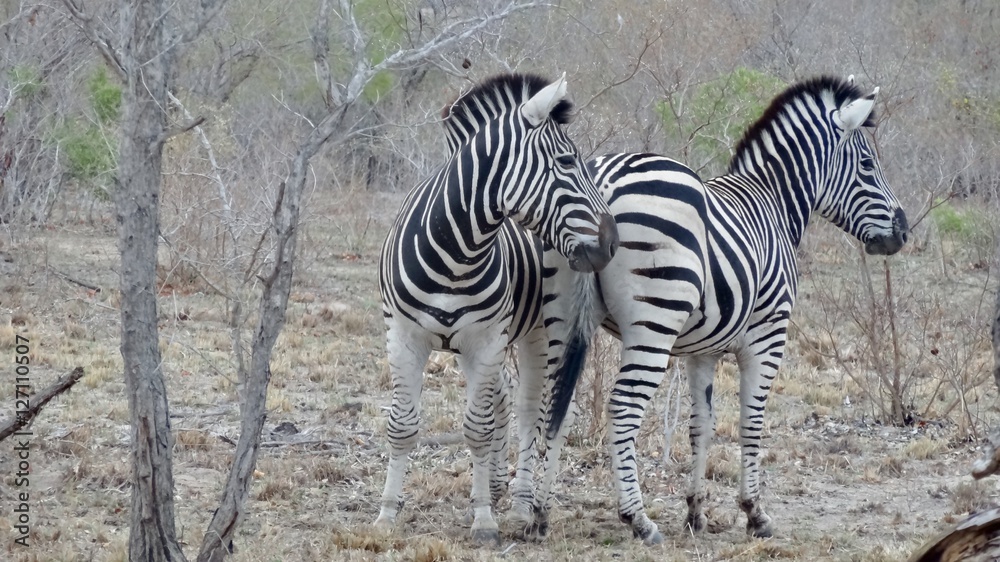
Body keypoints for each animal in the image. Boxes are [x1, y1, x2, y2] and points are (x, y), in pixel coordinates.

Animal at [375, 72, 619, 545]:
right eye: (566, 162)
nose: (612, 244)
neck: (456, 249)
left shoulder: (485, 341)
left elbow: (477, 428)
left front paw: (485, 519)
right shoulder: (403, 336)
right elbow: (403, 426)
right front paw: (387, 514)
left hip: (546, 330)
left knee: (533, 411)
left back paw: (525, 505)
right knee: (509, 405)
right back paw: (501, 486)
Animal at [535, 75, 909, 544]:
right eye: (867, 164)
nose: (903, 231)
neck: (775, 203)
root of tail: (600, 179)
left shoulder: (703, 350)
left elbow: (702, 425)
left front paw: (696, 512)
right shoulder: (768, 336)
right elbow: (752, 421)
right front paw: (754, 513)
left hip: (562, 316)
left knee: (555, 404)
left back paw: (538, 514)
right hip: (653, 325)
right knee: (622, 408)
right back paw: (637, 519)